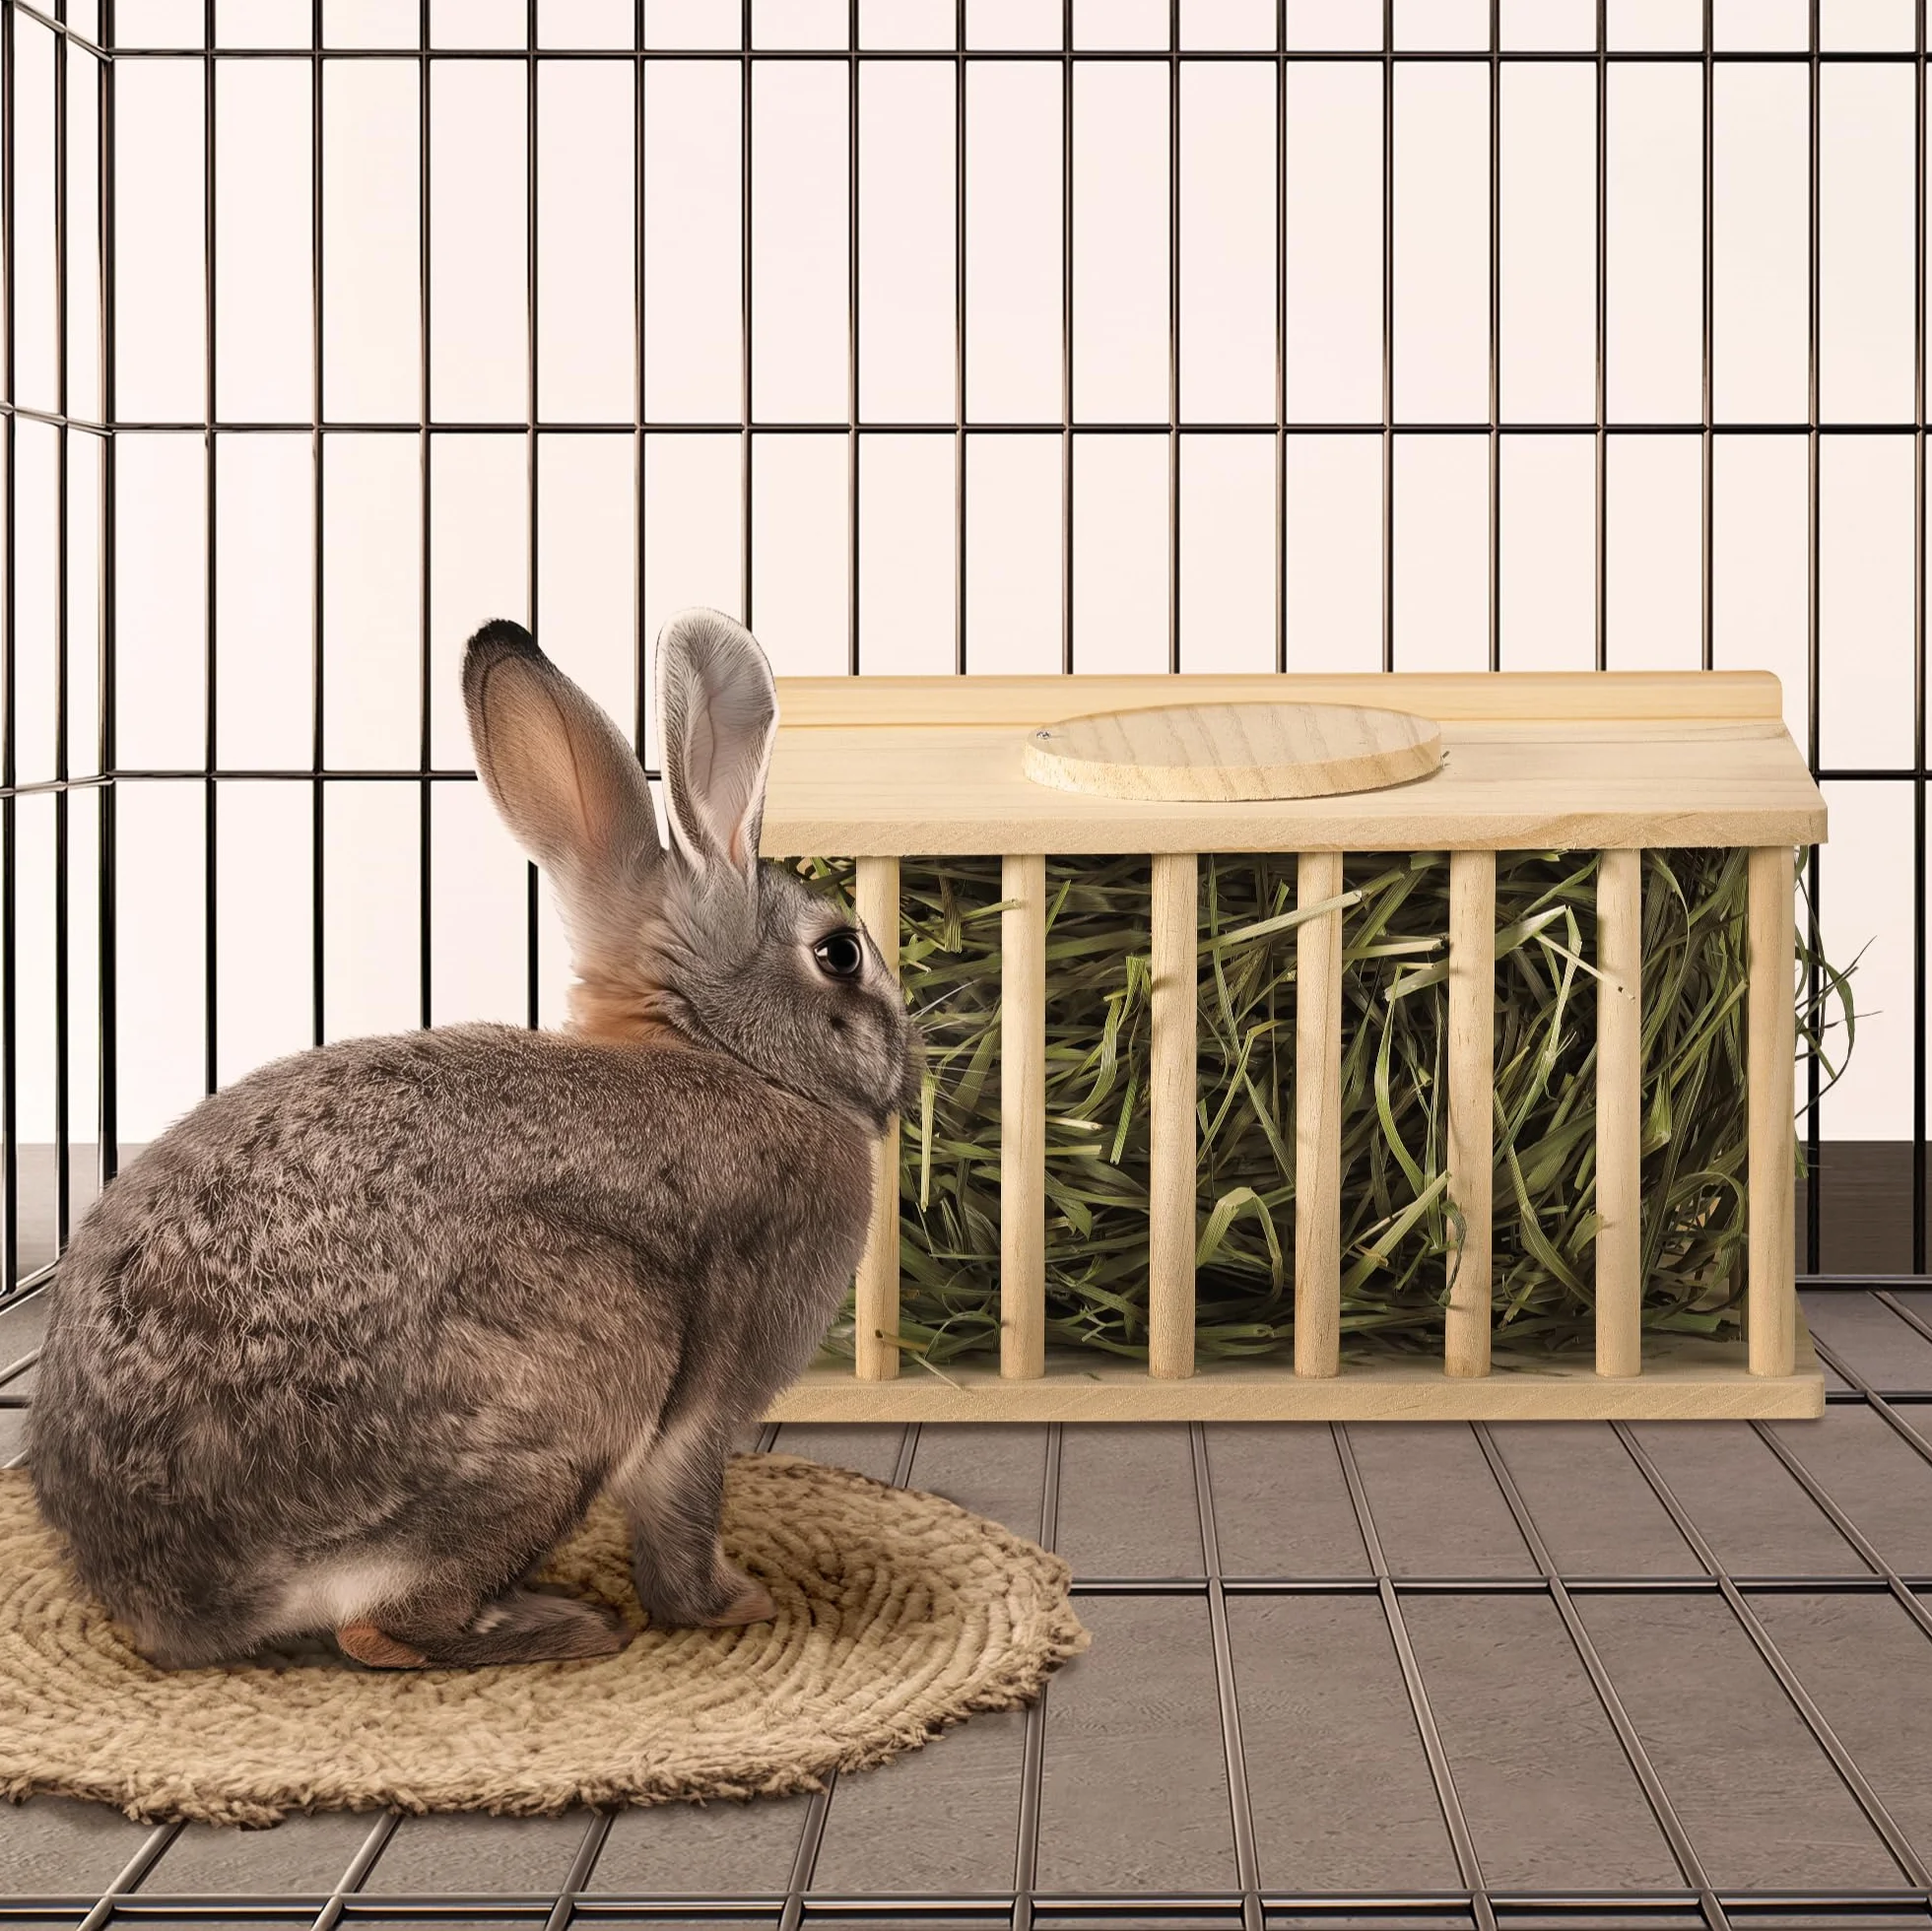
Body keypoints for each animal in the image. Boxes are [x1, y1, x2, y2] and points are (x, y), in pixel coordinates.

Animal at [28, 609, 919, 1670]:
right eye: (839, 953)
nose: (906, 1070)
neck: (731, 1055)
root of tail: (183, 1599)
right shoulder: (715, 1380)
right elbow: (682, 1511)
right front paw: (733, 1605)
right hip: (583, 1359)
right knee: (383, 1629)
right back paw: (564, 1625)